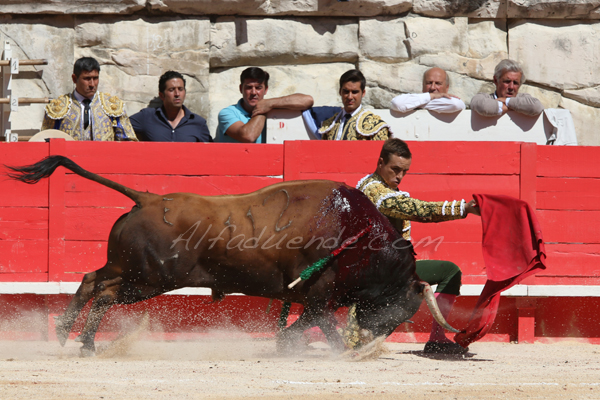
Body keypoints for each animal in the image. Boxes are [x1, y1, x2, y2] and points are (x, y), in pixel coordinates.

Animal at [7, 156, 458, 356]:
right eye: (401, 305)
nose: (367, 345)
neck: (355, 232)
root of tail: (147, 198)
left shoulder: (311, 296)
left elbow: (305, 323)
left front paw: (287, 346)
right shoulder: (318, 293)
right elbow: (319, 324)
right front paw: (329, 351)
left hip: (130, 271)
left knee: (90, 281)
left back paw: (70, 335)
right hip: (149, 279)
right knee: (102, 292)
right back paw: (80, 341)